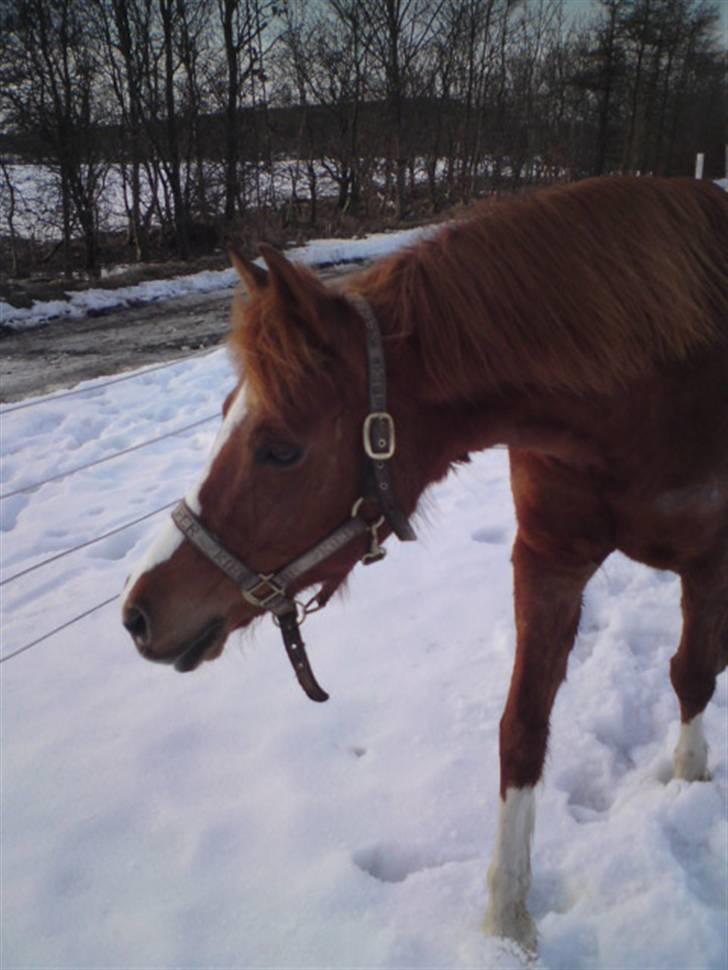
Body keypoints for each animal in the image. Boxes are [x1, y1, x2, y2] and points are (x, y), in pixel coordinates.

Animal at [123, 178, 728, 948]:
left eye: (281, 448)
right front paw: (507, 921)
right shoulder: (549, 562)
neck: (654, 392)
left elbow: (692, 673)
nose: (138, 612)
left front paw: (690, 780)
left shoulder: (710, 565)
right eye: (227, 408)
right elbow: (522, 730)